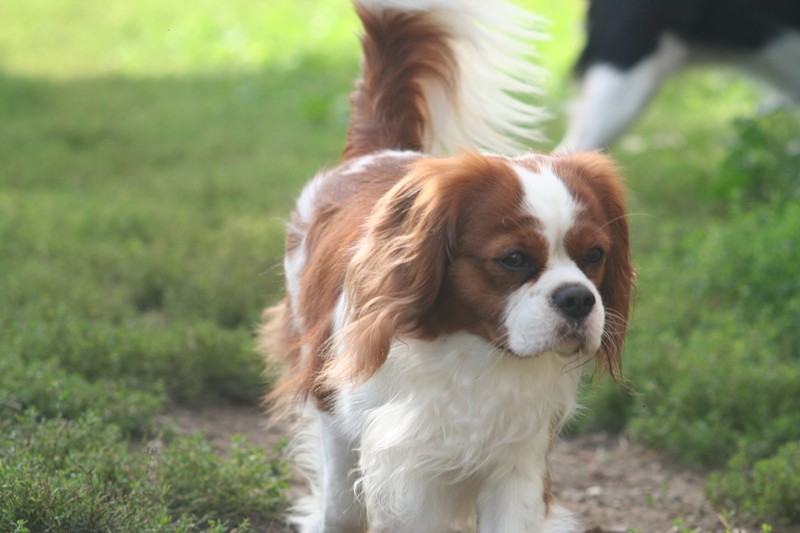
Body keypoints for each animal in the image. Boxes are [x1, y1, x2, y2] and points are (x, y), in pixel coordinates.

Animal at [260, 2, 636, 528]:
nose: (579, 299)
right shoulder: (341, 412)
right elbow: (341, 510)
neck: (470, 350)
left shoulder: (516, 459)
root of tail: (380, 150)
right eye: (514, 259)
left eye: (595, 256)